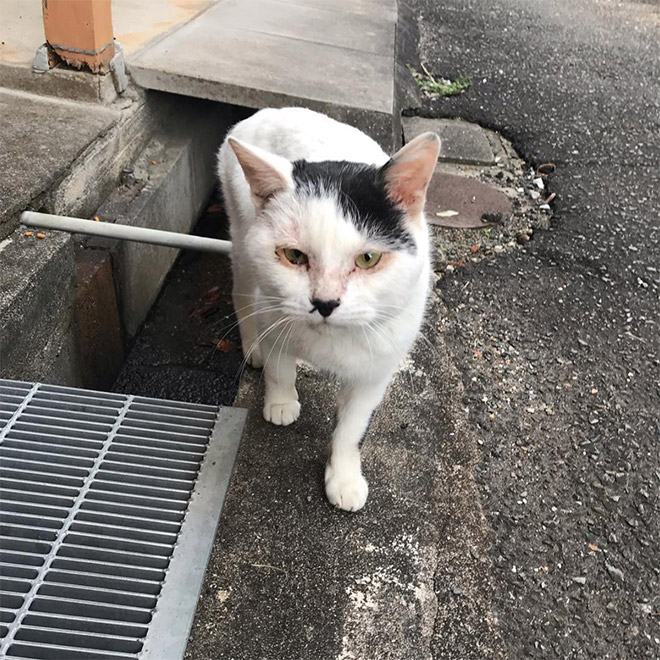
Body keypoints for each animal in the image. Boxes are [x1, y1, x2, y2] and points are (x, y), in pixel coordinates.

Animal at [219, 107, 440, 510]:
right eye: (294, 255)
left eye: (368, 258)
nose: (324, 302)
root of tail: (270, 110)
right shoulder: (272, 310)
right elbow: (279, 369)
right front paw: (281, 403)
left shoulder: (375, 372)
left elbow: (352, 429)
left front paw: (345, 478)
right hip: (241, 242)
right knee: (241, 295)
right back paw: (252, 348)